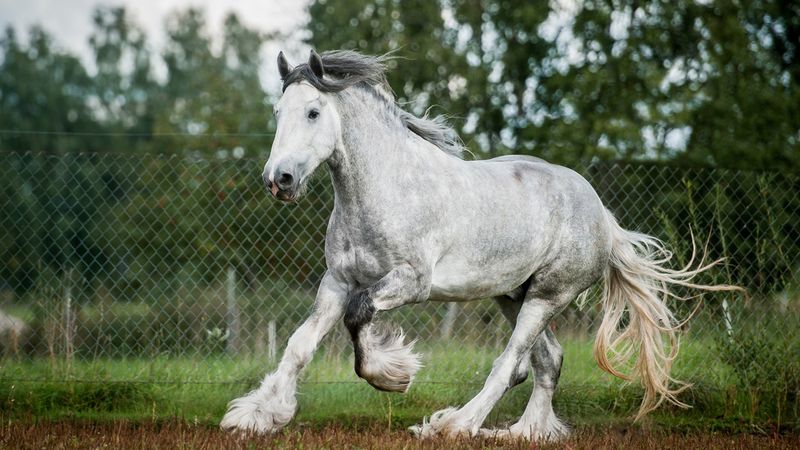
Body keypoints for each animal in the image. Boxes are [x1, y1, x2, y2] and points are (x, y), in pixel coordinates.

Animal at [217, 49, 736, 440]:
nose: (279, 180)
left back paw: (453, 425)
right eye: (277, 112)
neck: (384, 187)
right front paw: (259, 415)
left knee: (511, 364)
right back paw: (524, 432)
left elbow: (359, 317)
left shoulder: (410, 282)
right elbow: (299, 344)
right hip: (512, 294)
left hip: (547, 296)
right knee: (546, 362)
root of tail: (603, 217)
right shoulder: (338, 279)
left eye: (313, 112)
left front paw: (395, 374)